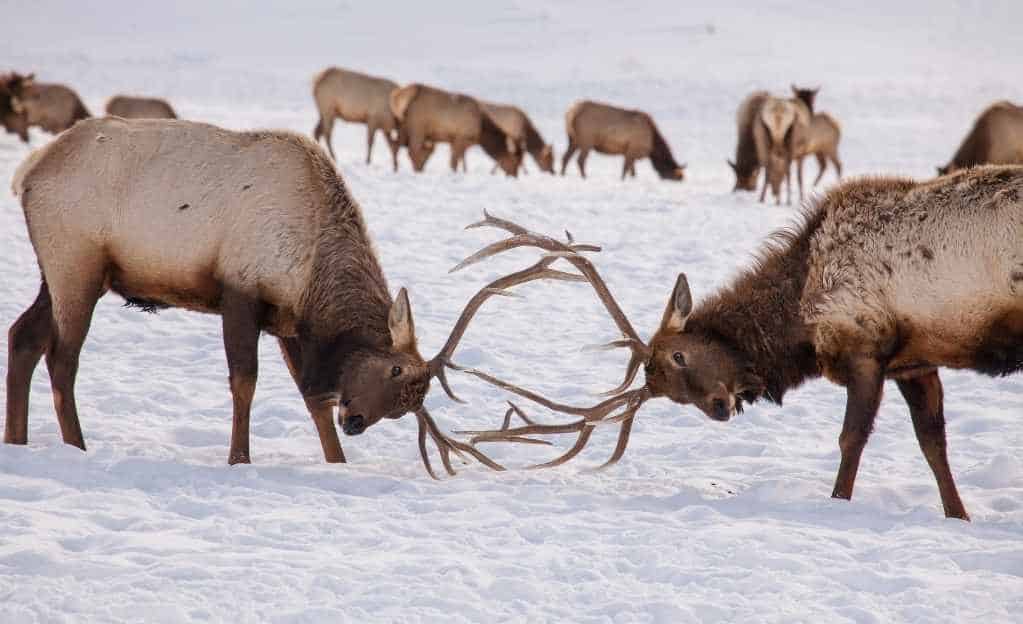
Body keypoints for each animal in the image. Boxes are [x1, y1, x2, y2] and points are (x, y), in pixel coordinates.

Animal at [6, 117, 597, 476]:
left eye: (407, 406)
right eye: (395, 371)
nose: (357, 423)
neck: (311, 269)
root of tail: (28, 173)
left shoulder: (289, 320)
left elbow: (314, 398)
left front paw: (337, 463)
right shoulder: (240, 290)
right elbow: (245, 382)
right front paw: (239, 459)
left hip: (56, 269)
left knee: (23, 335)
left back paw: (16, 440)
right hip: (76, 261)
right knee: (62, 356)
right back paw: (76, 447)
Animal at [388, 81, 523, 174]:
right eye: (514, 159)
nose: (514, 175)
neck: (481, 134)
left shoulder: (459, 141)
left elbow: (461, 160)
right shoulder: (460, 138)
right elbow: (454, 161)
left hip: (404, 125)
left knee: (396, 146)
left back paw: (396, 168)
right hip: (418, 127)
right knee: (413, 150)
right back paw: (417, 170)